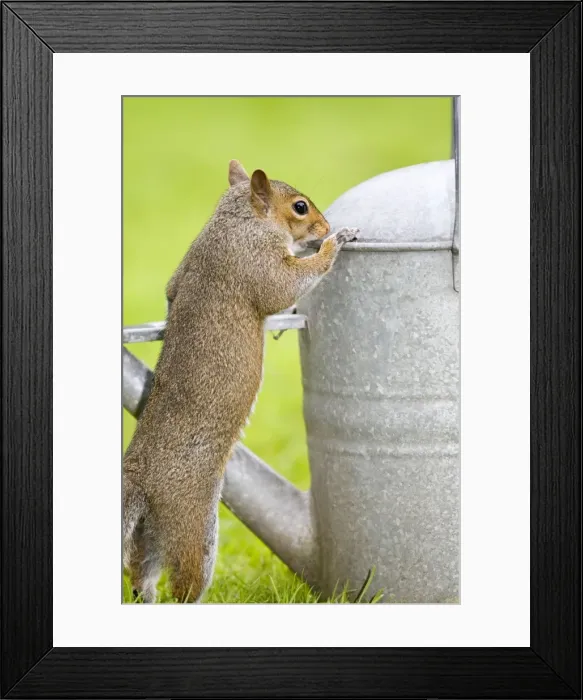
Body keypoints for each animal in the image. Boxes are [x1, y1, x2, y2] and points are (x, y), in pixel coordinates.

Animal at [123, 160, 358, 603]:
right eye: (300, 207)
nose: (325, 225)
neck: (236, 221)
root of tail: (139, 477)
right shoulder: (255, 261)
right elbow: (283, 288)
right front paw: (333, 243)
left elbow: (171, 291)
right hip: (191, 526)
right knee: (185, 582)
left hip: (152, 533)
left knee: (141, 573)